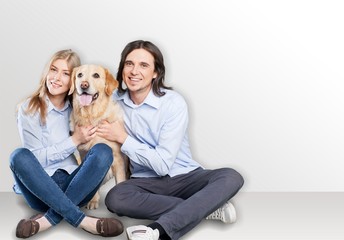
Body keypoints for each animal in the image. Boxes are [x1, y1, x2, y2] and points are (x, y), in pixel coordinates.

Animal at [69, 64, 128, 209]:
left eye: (96, 75)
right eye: (79, 75)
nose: (84, 85)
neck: (92, 117)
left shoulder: (119, 159)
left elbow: (120, 181)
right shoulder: (85, 155)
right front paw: (92, 201)